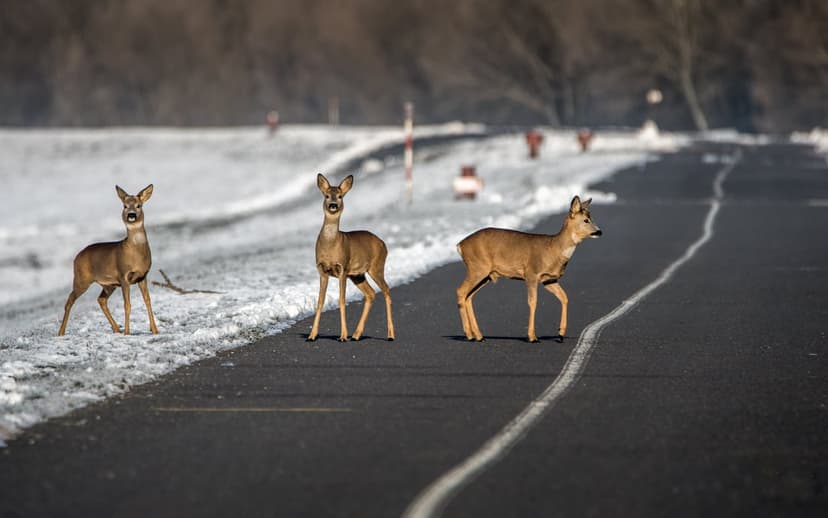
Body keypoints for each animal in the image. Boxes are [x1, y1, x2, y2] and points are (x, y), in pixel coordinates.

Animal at [58, 184, 159, 336]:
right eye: (124, 206)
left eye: (138, 205)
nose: (131, 215)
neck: (135, 255)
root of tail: (77, 256)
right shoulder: (123, 276)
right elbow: (127, 304)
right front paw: (127, 333)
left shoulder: (142, 276)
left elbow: (147, 300)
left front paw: (155, 330)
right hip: (81, 279)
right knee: (69, 300)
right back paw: (61, 333)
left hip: (109, 284)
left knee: (101, 299)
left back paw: (117, 329)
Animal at [307, 173, 395, 342]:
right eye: (327, 196)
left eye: (340, 196)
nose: (333, 205)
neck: (330, 246)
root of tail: (383, 243)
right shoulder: (321, 270)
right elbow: (320, 301)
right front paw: (312, 335)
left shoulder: (343, 268)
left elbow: (341, 301)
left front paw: (342, 336)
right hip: (358, 275)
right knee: (371, 293)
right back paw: (356, 334)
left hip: (376, 267)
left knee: (386, 290)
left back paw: (390, 335)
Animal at [455, 195, 601, 343]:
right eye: (586, 220)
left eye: (591, 217)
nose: (599, 232)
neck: (553, 249)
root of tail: (460, 245)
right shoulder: (531, 273)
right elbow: (533, 302)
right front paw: (532, 337)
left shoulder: (549, 280)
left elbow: (564, 297)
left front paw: (560, 334)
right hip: (477, 267)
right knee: (461, 290)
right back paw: (469, 335)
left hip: (486, 275)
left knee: (469, 296)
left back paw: (479, 336)